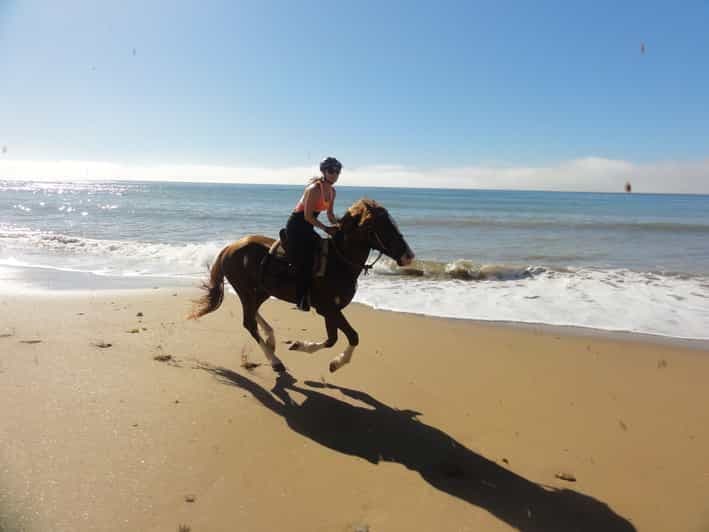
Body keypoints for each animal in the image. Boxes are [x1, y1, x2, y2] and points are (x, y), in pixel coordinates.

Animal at [189, 198, 415, 373]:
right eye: (376, 226)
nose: (409, 255)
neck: (339, 262)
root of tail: (229, 247)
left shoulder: (331, 310)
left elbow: (332, 339)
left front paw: (302, 347)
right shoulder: (328, 308)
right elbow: (352, 336)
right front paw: (337, 362)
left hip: (260, 291)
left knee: (254, 314)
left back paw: (270, 337)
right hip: (246, 290)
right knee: (249, 323)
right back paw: (275, 361)